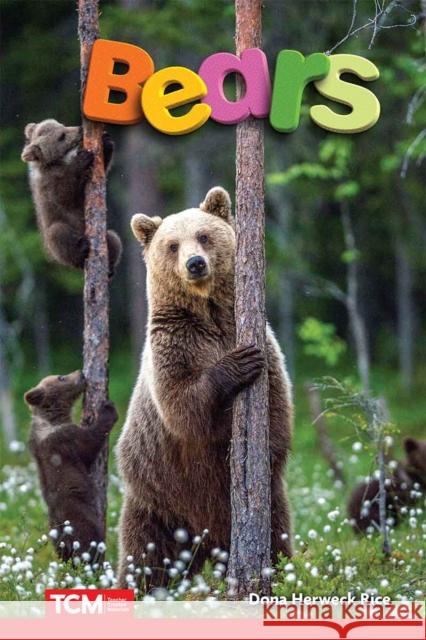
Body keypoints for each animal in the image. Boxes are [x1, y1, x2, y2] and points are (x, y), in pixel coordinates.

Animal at [21, 119, 122, 277]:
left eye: (62, 125)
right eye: (61, 136)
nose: (80, 129)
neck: (59, 162)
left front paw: (106, 142)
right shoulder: (50, 185)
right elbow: (66, 196)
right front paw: (82, 159)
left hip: (105, 237)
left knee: (113, 238)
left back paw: (110, 267)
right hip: (55, 239)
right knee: (58, 234)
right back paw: (82, 249)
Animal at [24, 370, 118, 561]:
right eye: (61, 377)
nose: (81, 373)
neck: (52, 419)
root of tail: (64, 536)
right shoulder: (65, 440)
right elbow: (89, 444)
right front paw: (107, 409)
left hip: (55, 536)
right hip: (81, 519)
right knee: (90, 543)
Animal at [116, 186, 293, 589]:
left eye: (204, 235)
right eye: (172, 245)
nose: (195, 263)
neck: (208, 314)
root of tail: (206, 540)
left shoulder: (262, 343)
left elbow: (276, 409)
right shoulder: (173, 346)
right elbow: (183, 407)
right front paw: (237, 364)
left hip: (263, 506)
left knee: (277, 533)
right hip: (157, 498)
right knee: (145, 555)